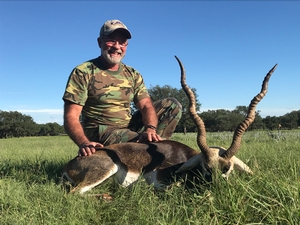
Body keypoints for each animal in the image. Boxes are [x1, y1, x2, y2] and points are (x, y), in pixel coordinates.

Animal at [62, 55, 278, 193]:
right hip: (106, 169)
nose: (217, 190)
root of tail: (71, 163)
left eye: (227, 168)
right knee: (75, 194)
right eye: (206, 167)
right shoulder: (159, 181)